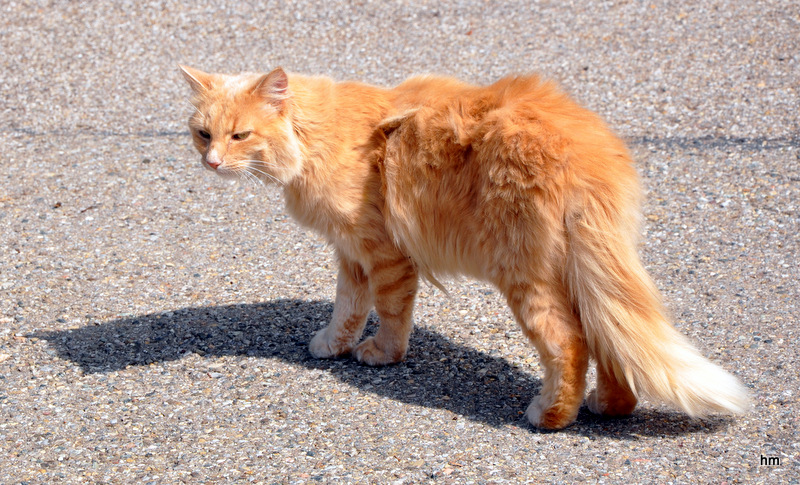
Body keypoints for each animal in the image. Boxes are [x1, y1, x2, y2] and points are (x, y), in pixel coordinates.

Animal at [180, 64, 752, 428]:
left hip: (524, 275)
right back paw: (609, 407)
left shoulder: (384, 253)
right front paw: (334, 344)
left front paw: (382, 356)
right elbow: (348, 307)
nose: (211, 163)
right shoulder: (351, 253)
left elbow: (389, 313)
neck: (317, 135)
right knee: (606, 336)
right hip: (581, 270)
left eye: (240, 136)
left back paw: (550, 416)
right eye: (203, 134)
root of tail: (587, 149)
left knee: (570, 343)